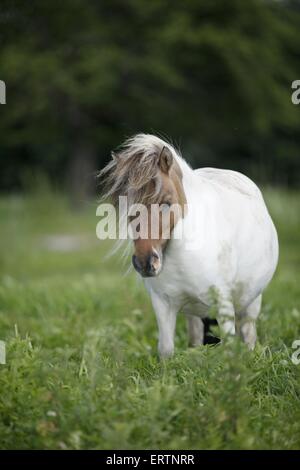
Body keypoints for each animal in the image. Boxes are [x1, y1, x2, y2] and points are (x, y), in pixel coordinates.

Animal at [100, 134, 278, 358]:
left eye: (166, 203)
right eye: (124, 205)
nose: (145, 263)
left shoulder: (224, 305)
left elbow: (229, 350)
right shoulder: (163, 305)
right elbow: (166, 350)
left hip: (251, 302)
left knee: (248, 335)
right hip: (194, 314)